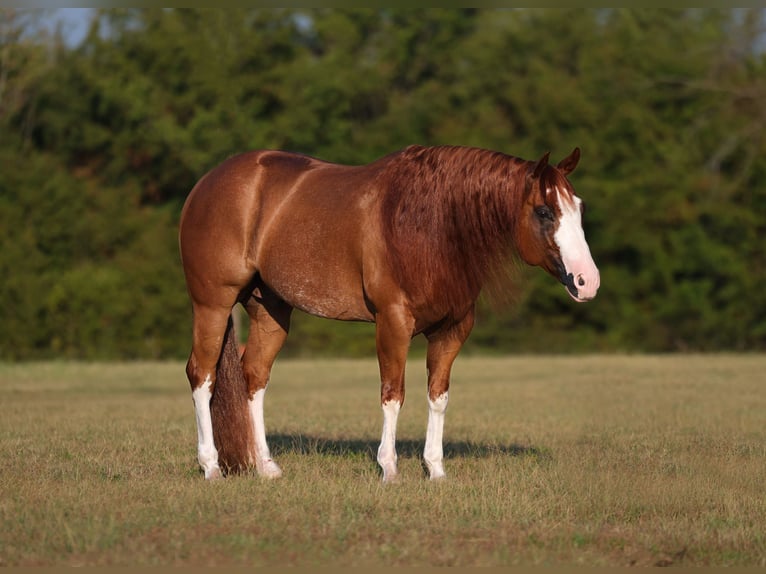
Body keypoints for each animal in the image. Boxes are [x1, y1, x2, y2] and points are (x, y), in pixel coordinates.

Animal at [178, 144, 599, 482]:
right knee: (202, 376)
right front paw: (390, 469)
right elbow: (393, 394)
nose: (587, 282)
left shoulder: (452, 330)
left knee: (254, 379)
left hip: (271, 310)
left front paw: (436, 470)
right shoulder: (393, 322)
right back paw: (211, 467)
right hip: (213, 304)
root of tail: (205, 184)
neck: (431, 224)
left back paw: (266, 466)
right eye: (544, 211)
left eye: (578, 207)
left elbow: (438, 396)